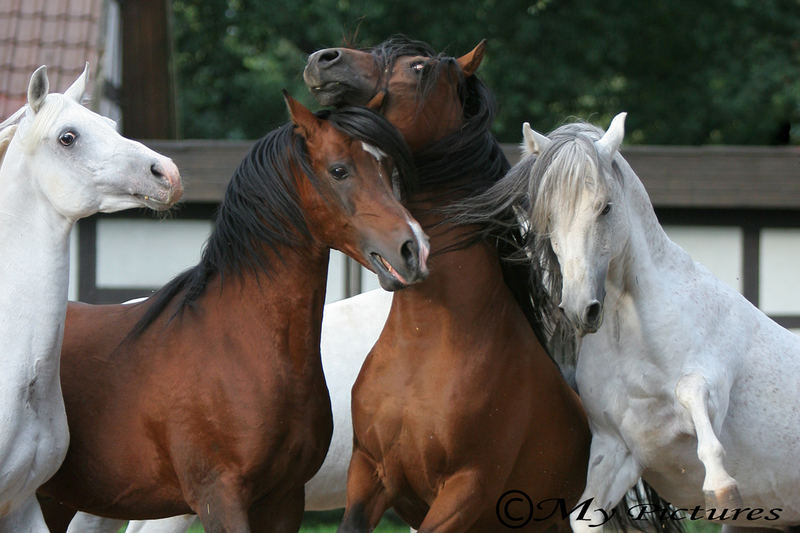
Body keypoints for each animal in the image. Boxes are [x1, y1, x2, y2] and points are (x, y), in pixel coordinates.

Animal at [36, 92, 432, 532]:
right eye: (339, 170)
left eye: (387, 168)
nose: (413, 248)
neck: (237, 346)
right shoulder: (218, 498)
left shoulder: (283, 500)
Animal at [476, 114, 800, 528]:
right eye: (548, 216)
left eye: (605, 207)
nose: (581, 309)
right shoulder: (617, 449)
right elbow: (584, 516)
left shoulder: (713, 388)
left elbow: (690, 392)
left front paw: (720, 486)